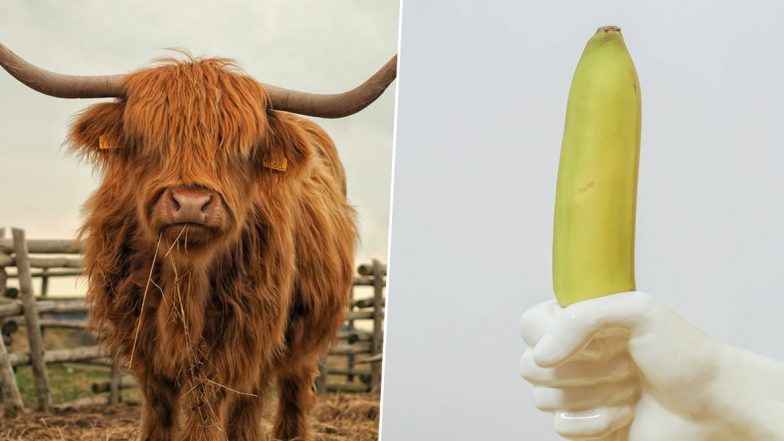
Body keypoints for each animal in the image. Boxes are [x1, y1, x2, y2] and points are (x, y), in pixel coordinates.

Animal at [0, 44, 396, 441]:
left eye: (239, 149)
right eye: (149, 141)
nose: (191, 203)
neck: (185, 278)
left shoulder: (238, 338)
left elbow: (209, 407)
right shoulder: (141, 340)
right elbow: (159, 409)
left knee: (282, 395)